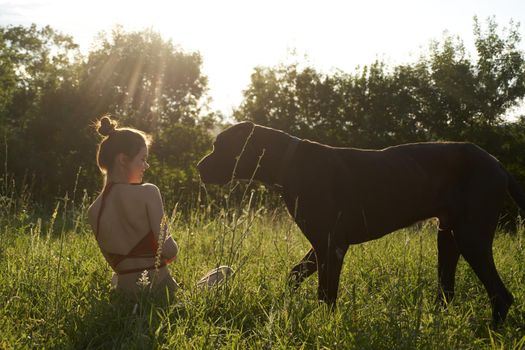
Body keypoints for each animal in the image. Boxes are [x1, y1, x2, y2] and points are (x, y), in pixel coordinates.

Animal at [198, 121, 524, 326]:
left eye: (219, 146)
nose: (199, 167)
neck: (289, 163)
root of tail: (498, 165)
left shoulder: (332, 246)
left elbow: (326, 295)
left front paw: (324, 326)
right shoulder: (321, 245)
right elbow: (294, 275)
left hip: (471, 237)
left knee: (501, 296)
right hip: (448, 236)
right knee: (448, 291)